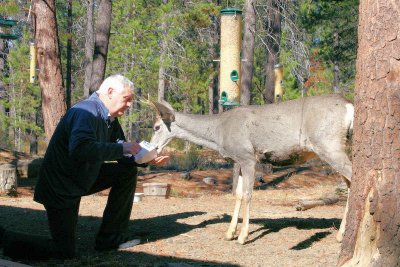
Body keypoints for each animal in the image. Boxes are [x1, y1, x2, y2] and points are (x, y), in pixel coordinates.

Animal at [147, 94, 354, 245]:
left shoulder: (248, 157)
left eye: (156, 127)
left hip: (328, 144)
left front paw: (242, 236)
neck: (217, 132)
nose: (153, 148)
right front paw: (229, 233)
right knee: (350, 183)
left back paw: (343, 234)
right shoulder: (238, 160)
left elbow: (247, 194)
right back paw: (341, 234)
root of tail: (349, 105)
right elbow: (238, 194)